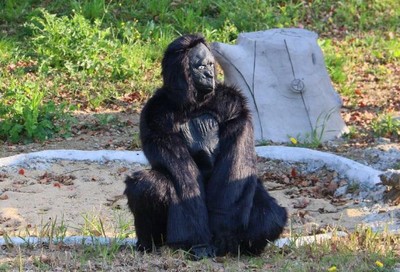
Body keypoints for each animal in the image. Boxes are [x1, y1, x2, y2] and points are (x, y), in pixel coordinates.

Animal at [125, 33, 288, 258]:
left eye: (211, 64)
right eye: (201, 66)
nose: (210, 75)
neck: (193, 104)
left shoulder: (234, 106)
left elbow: (234, 170)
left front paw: (225, 237)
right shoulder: (154, 115)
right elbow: (183, 176)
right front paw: (196, 242)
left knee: (270, 216)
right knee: (146, 184)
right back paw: (148, 246)